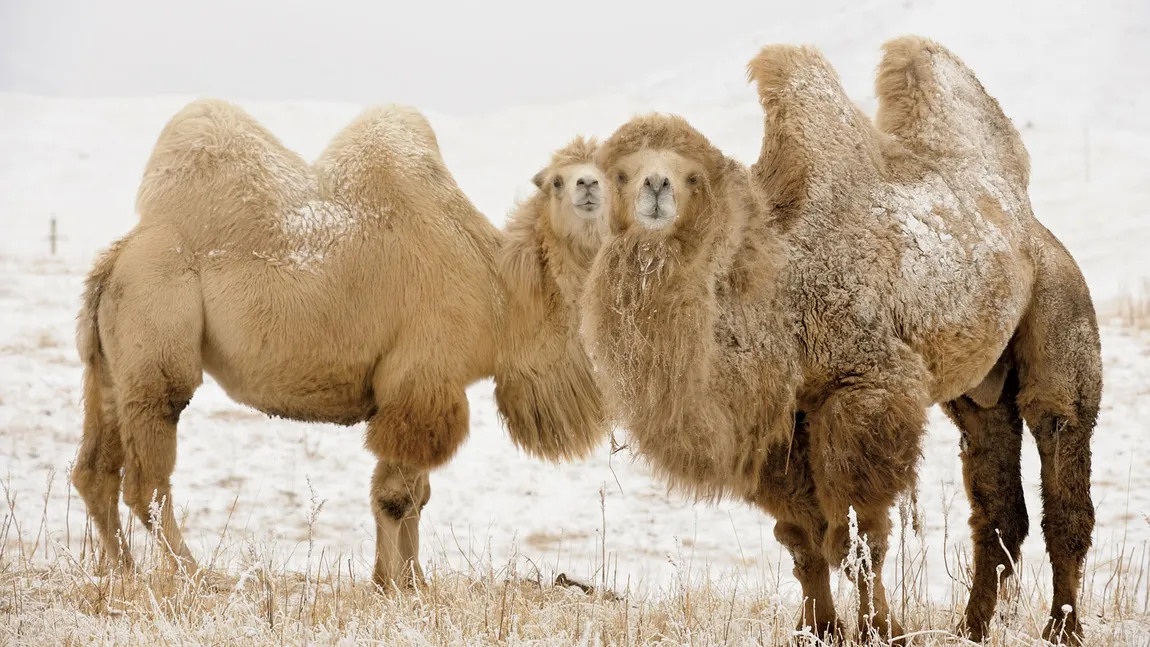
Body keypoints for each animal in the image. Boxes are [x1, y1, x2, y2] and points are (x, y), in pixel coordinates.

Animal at [69, 101, 611, 592]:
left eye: (606, 173)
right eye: (557, 180)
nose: (588, 187)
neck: (499, 293)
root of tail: (116, 257)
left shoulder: (421, 390)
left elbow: (418, 494)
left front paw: (413, 581)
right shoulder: (420, 382)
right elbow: (396, 496)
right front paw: (393, 585)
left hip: (111, 366)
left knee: (95, 472)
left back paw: (122, 573)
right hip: (156, 333)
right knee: (147, 480)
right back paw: (201, 576)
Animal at [588, 37, 1099, 643]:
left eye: (692, 176)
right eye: (619, 174)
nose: (655, 188)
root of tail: (1037, 231)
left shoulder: (864, 390)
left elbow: (859, 538)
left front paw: (881, 630)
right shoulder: (784, 419)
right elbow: (800, 539)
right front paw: (818, 629)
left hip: (1061, 312)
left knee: (1061, 456)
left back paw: (1062, 629)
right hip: (979, 391)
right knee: (997, 502)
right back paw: (970, 628)